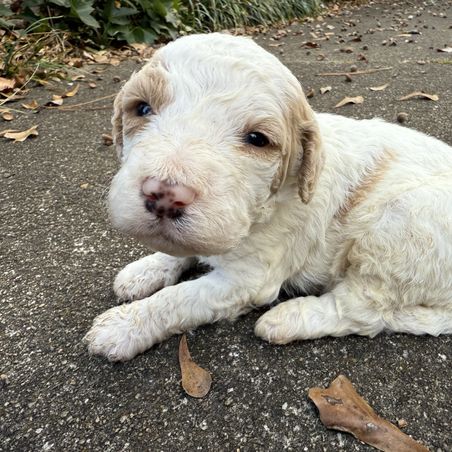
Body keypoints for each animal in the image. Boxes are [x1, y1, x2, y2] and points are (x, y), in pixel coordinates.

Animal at [83, 33, 452, 361]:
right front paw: (146, 270)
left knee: (363, 309)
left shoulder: (248, 279)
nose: (164, 195)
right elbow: (179, 251)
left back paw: (288, 319)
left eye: (257, 139)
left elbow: (181, 298)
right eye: (142, 108)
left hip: (399, 225)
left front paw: (124, 326)